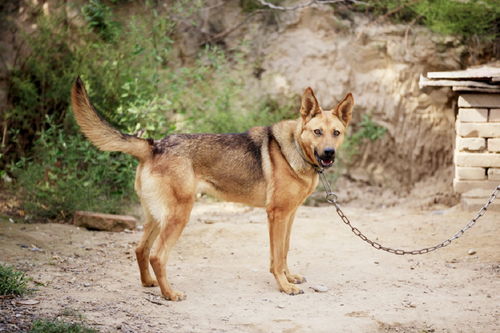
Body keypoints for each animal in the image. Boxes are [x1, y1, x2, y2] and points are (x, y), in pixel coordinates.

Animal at [70, 78, 354, 300]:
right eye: (317, 132)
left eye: (336, 133)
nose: (329, 153)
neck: (295, 148)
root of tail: (154, 145)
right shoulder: (277, 215)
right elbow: (275, 258)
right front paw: (284, 286)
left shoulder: (289, 216)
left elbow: (283, 252)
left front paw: (289, 277)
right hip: (179, 216)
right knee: (157, 256)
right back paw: (169, 294)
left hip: (156, 217)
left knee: (141, 249)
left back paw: (150, 283)